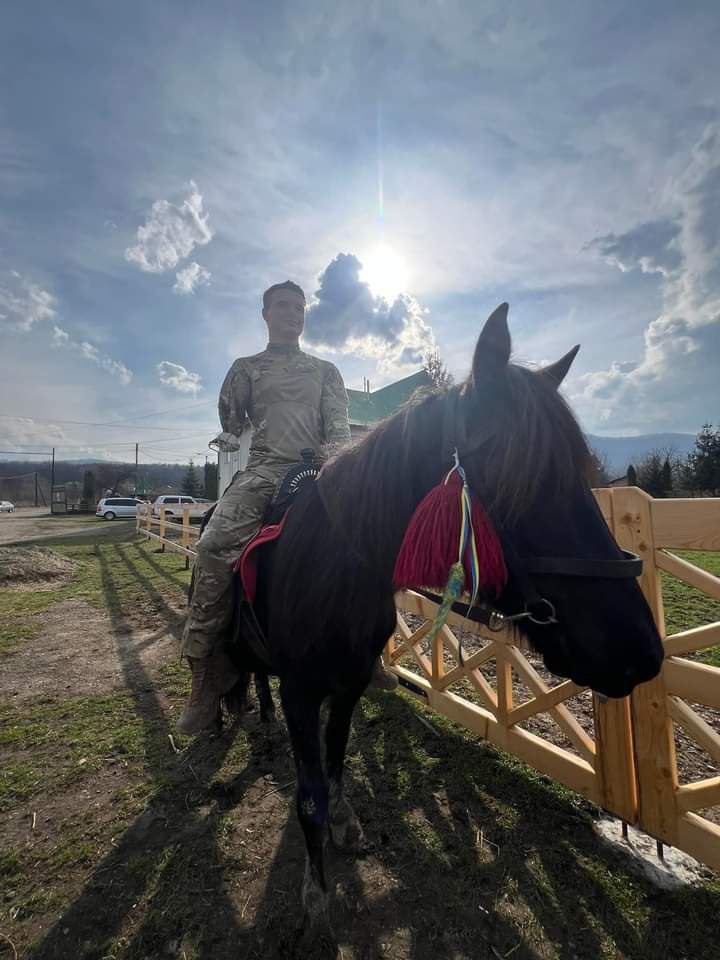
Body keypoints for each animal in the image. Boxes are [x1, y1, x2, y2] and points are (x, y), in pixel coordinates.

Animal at [226, 306, 664, 936]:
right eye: (521, 479)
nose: (642, 650)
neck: (335, 570)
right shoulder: (302, 694)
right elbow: (308, 797)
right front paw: (317, 895)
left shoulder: (348, 685)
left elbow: (337, 758)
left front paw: (345, 822)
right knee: (246, 673)